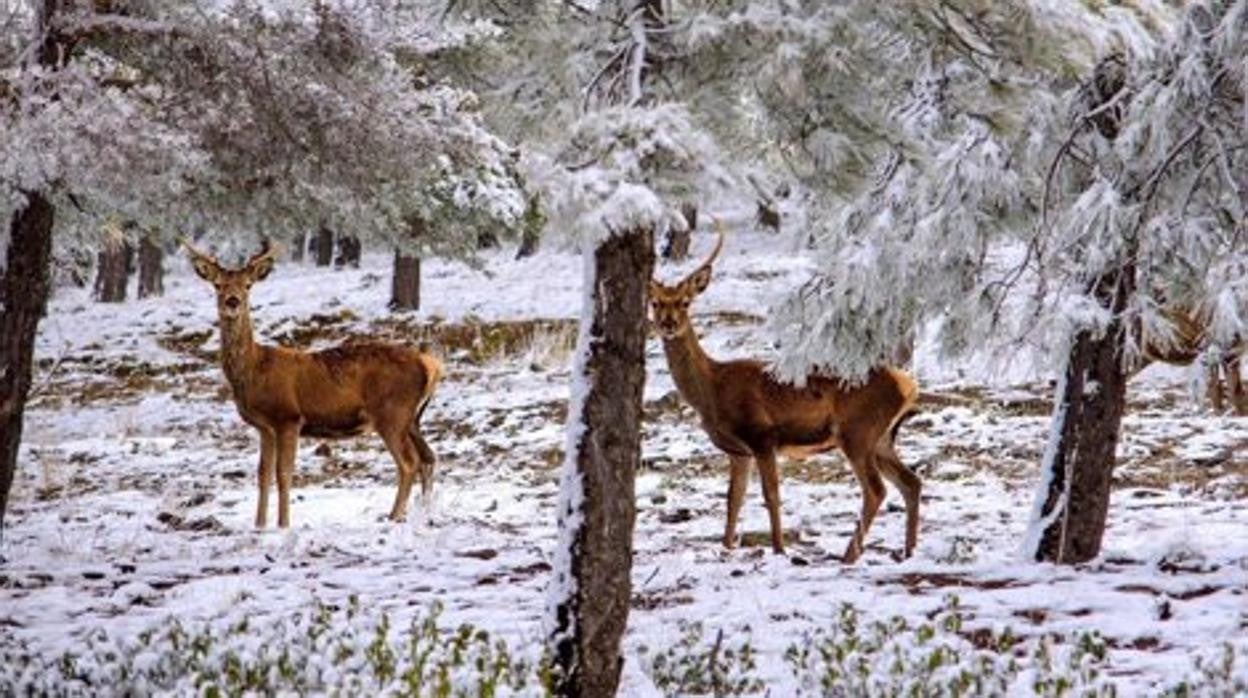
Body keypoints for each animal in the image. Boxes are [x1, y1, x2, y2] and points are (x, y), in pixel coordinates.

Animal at [182, 239, 441, 524]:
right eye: (217, 284)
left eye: (248, 285)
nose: (232, 301)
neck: (253, 370)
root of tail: (431, 365)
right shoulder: (264, 427)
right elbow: (263, 474)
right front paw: (259, 525)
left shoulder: (288, 417)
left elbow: (283, 474)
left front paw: (283, 524)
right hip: (412, 419)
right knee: (428, 457)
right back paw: (423, 512)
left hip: (392, 413)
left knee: (409, 462)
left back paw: (393, 515)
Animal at [648, 227, 923, 564]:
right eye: (655, 303)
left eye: (685, 302)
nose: (668, 324)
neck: (712, 390)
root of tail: (908, 384)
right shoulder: (738, 451)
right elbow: (733, 499)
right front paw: (726, 548)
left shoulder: (762, 435)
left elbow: (771, 494)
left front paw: (779, 548)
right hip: (881, 438)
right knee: (911, 482)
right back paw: (908, 551)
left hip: (858, 431)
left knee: (876, 490)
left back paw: (849, 556)